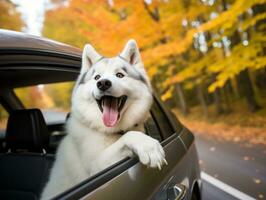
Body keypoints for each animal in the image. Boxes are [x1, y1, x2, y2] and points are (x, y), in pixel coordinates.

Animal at [41, 39, 166, 199]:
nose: (103, 83)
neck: (112, 131)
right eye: (97, 78)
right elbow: (129, 136)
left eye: (119, 75)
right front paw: (148, 146)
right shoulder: (96, 167)